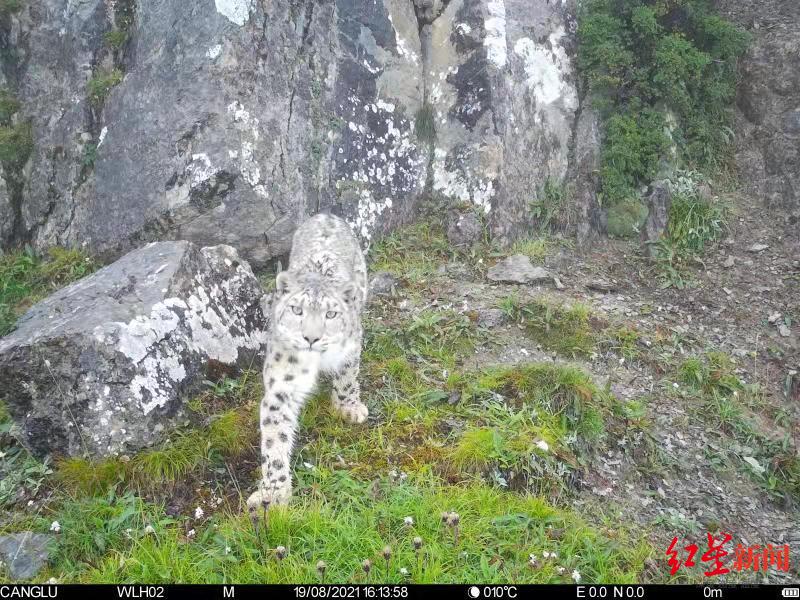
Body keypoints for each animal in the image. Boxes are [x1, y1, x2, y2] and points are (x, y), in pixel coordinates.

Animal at [247, 213, 368, 512]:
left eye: (331, 314)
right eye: (296, 310)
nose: (311, 338)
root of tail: (325, 215)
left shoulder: (351, 347)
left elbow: (347, 376)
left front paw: (348, 407)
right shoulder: (282, 384)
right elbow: (275, 438)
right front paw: (273, 493)